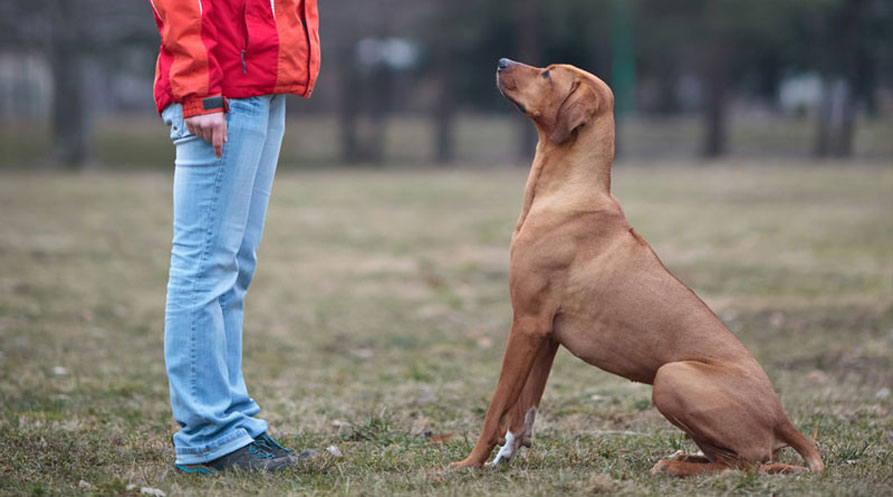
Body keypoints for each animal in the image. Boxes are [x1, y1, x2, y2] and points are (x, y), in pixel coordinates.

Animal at [450, 59, 824, 476]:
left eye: (547, 74)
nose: (501, 62)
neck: (568, 193)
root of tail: (783, 419)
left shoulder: (527, 323)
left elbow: (497, 406)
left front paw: (469, 462)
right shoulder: (546, 334)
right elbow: (524, 408)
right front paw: (506, 453)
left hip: (671, 376)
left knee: (744, 464)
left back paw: (674, 466)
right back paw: (685, 457)